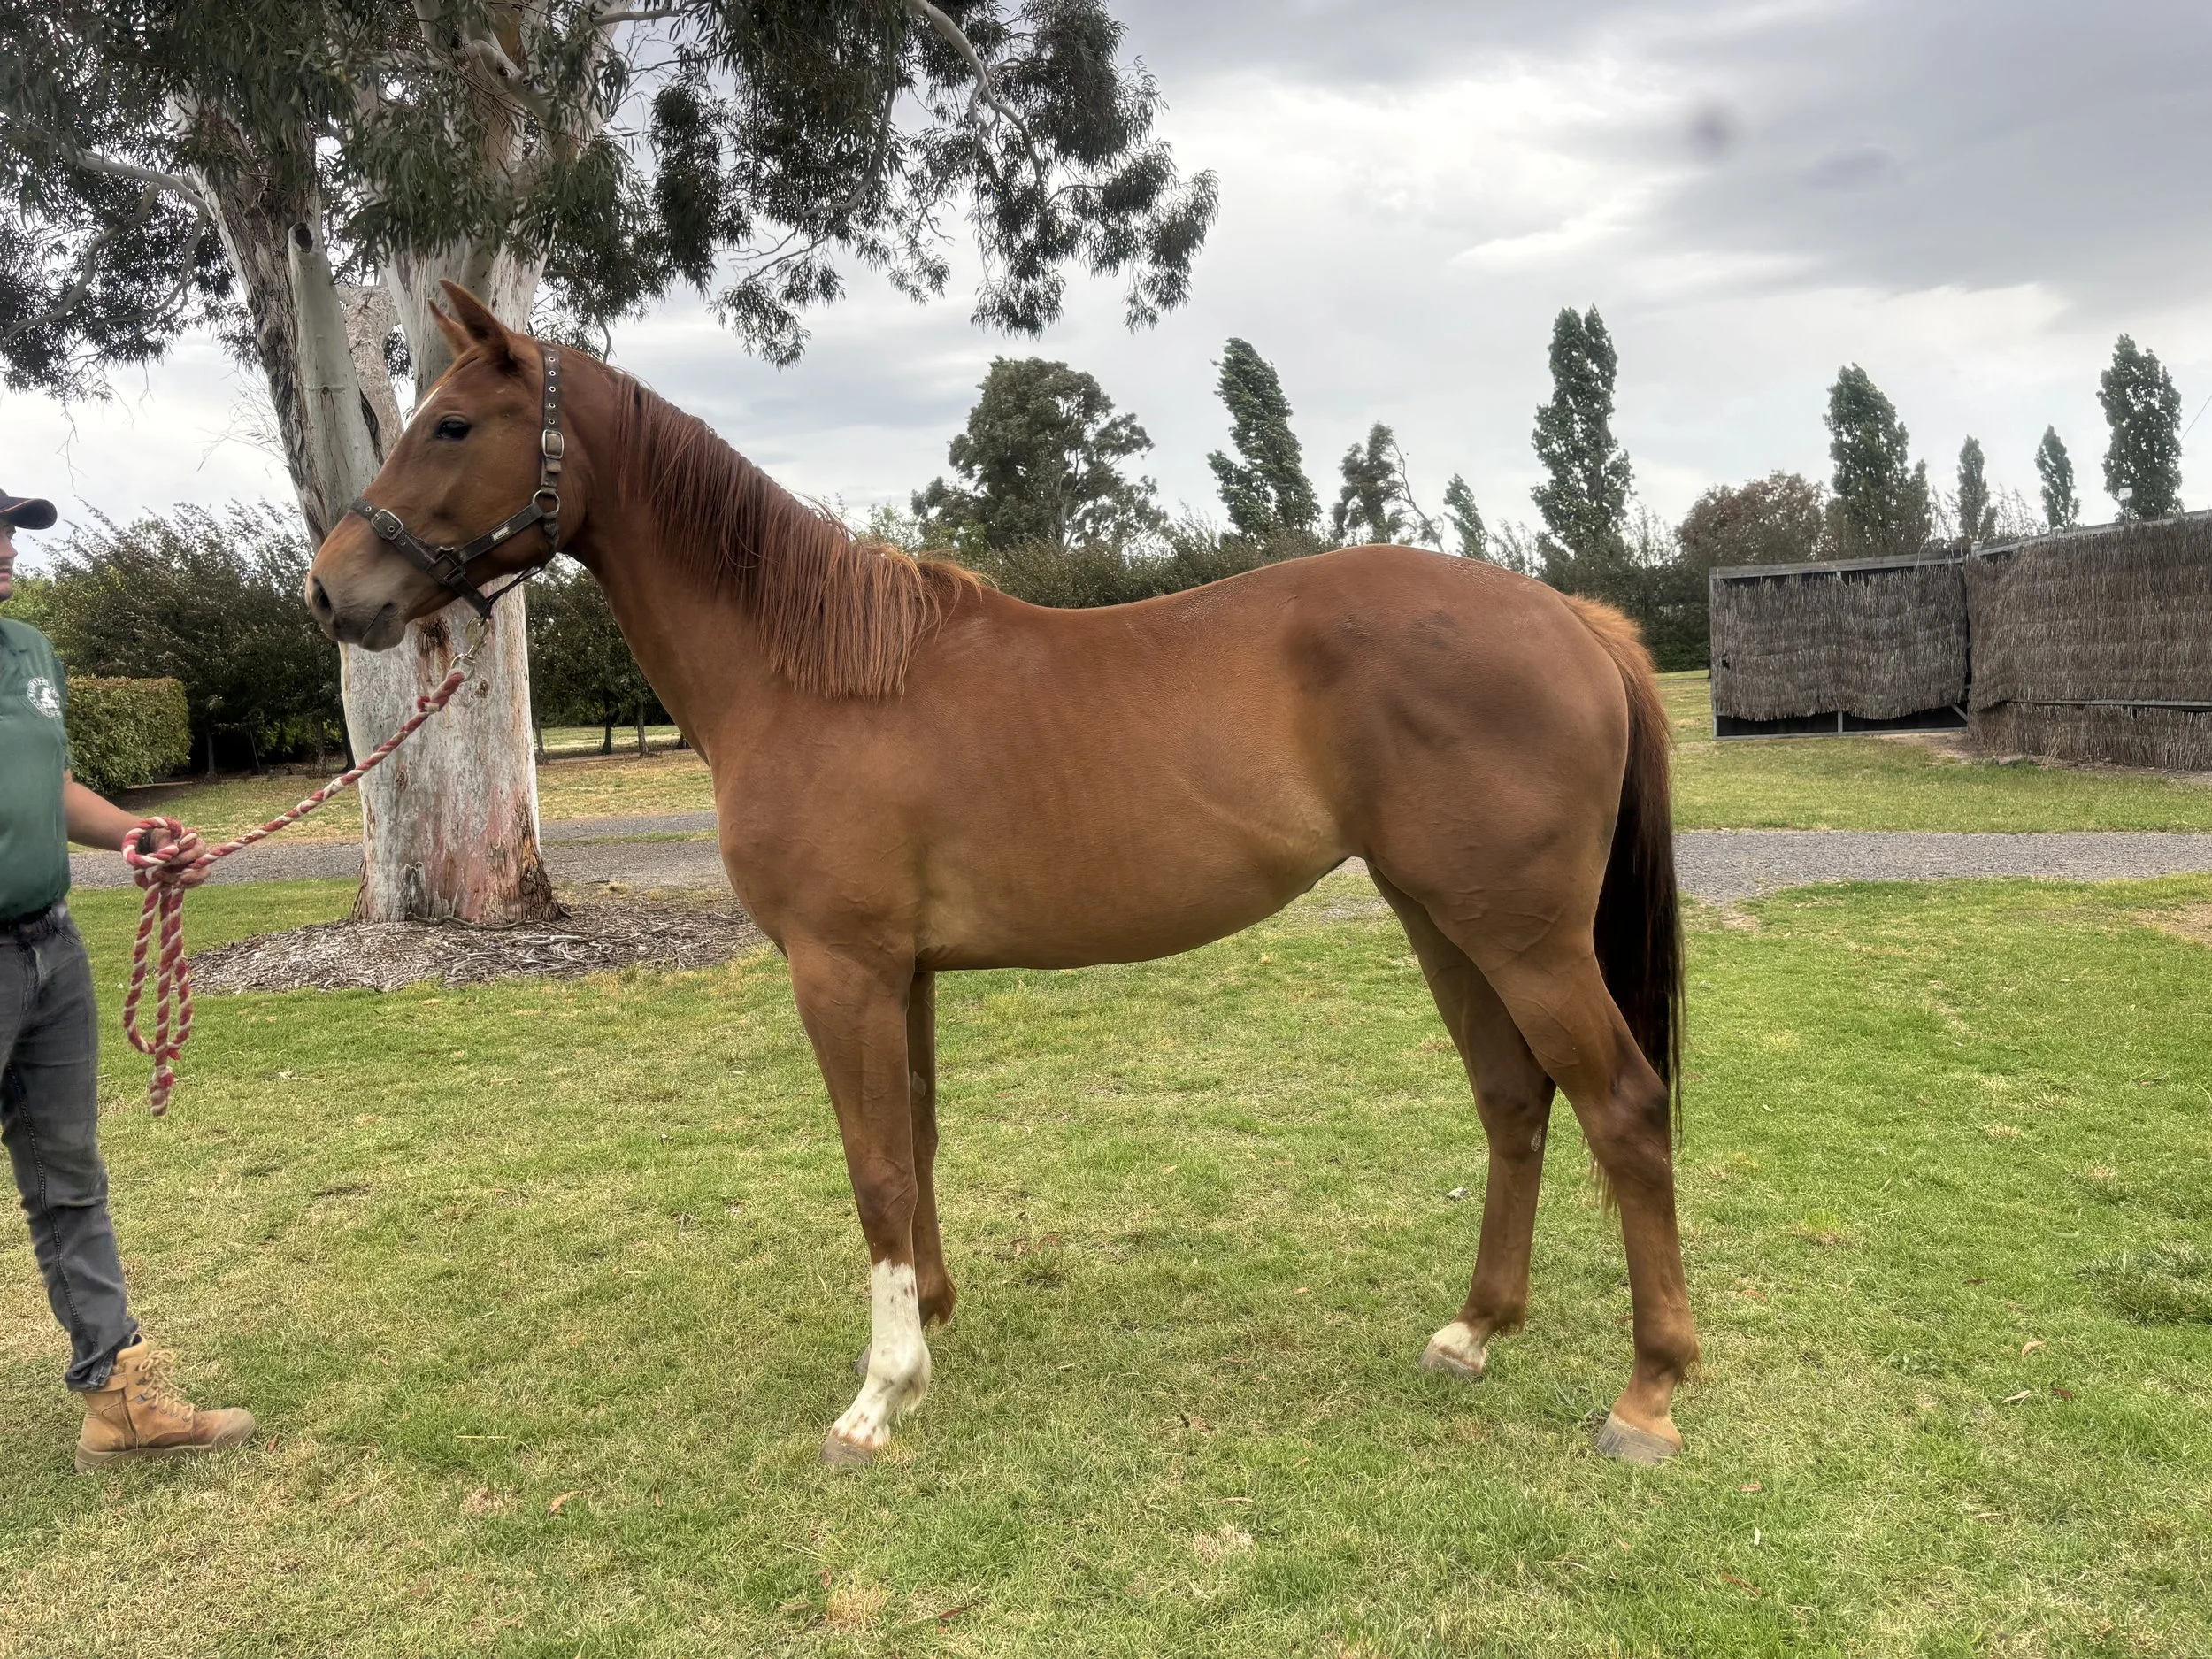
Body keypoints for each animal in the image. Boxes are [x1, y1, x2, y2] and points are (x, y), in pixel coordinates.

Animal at [307, 282, 1698, 1467]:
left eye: (451, 423)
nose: (330, 591)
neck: (809, 674)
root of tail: (1572, 618)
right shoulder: (902, 972)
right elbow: (915, 1140)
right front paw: (928, 1320)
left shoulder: (840, 969)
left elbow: (872, 1164)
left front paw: (877, 1398)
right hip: (1443, 919)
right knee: (1515, 1101)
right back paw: (1471, 1331)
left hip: (1521, 935)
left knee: (1624, 1105)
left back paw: (1647, 1394)